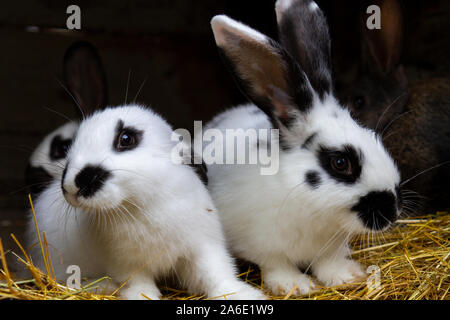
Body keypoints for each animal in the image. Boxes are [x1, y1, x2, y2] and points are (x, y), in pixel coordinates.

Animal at [26, 42, 266, 300]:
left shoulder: (203, 246)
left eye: (126, 139)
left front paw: (244, 294)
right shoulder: (126, 265)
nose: (73, 185)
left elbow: (216, 275)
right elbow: (138, 285)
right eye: (71, 144)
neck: (143, 204)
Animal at [202, 0, 402, 296]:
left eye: (374, 137)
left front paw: (347, 276)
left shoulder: (329, 247)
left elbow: (328, 262)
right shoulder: (263, 246)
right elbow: (276, 265)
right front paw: (295, 286)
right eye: (340, 163)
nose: (391, 211)